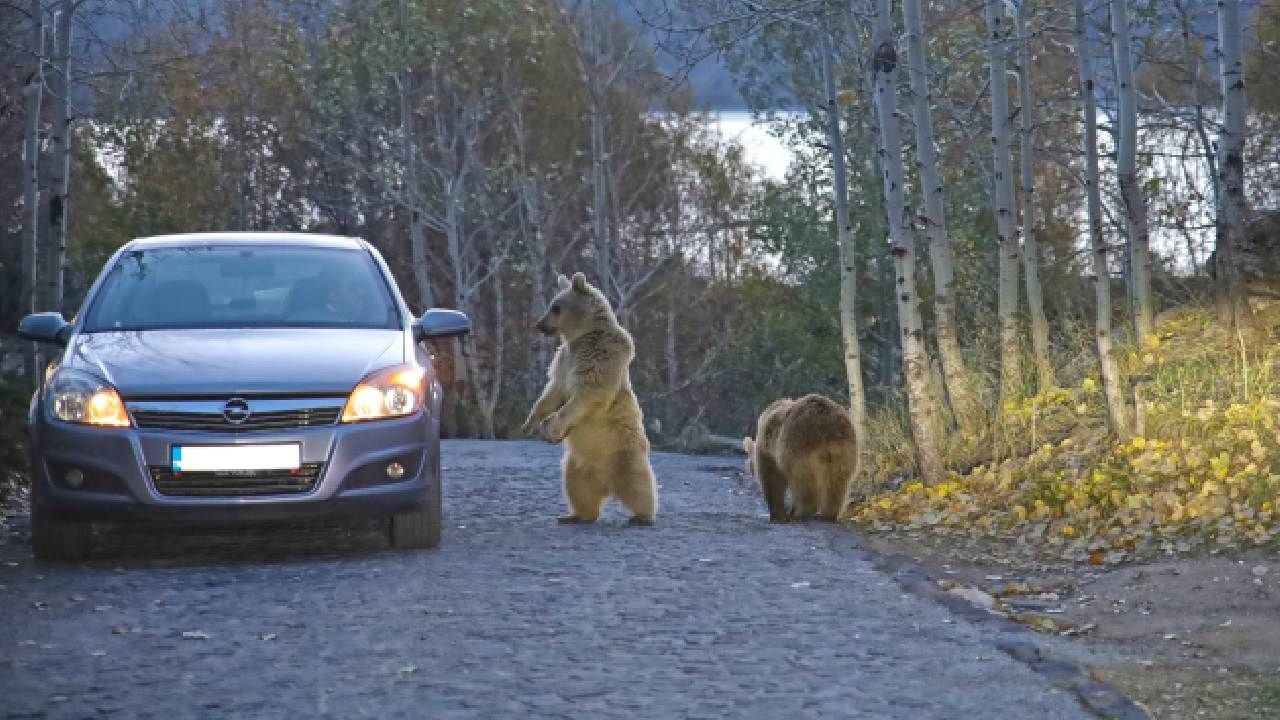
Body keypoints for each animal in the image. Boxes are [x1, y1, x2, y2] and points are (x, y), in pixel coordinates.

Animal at [519, 271, 660, 525]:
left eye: (556, 307)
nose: (539, 324)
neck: (581, 335)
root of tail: (606, 482)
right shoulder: (564, 360)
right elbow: (552, 392)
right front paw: (529, 423)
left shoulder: (600, 355)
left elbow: (587, 394)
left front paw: (551, 428)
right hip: (576, 465)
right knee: (578, 490)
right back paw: (573, 515)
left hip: (622, 450)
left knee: (637, 483)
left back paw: (643, 516)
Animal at [742, 392, 860, 520]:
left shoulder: (769, 449)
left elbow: (772, 479)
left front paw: (777, 514)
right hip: (844, 451)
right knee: (838, 482)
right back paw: (829, 513)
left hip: (798, 447)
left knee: (802, 483)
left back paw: (799, 512)